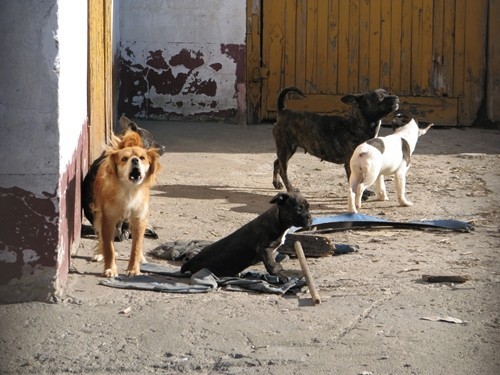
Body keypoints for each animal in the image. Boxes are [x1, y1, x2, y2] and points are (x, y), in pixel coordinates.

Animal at [91, 145, 158, 278]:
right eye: (124, 159)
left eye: (142, 158)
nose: (135, 160)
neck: (129, 191)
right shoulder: (108, 220)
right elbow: (109, 248)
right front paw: (110, 269)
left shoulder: (138, 219)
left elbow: (136, 246)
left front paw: (133, 269)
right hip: (99, 216)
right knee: (100, 237)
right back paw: (100, 253)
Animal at [182, 194, 310, 282]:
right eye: (299, 209)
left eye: (308, 208)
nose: (309, 218)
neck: (279, 222)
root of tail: (190, 262)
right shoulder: (265, 249)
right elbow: (271, 265)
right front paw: (281, 276)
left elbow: (274, 263)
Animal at [272, 87, 400, 192]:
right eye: (380, 98)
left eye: (388, 93)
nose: (397, 97)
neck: (356, 125)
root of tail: (284, 111)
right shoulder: (350, 163)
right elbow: (355, 181)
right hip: (286, 149)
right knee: (283, 171)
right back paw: (291, 189)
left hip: (287, 150)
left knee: (277, 163)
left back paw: (276, 183)